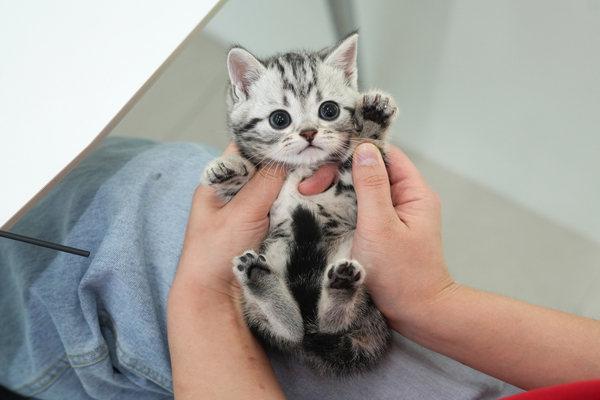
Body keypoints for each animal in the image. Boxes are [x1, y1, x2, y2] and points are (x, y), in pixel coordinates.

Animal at [201, 32, 398, 375]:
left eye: (329, 110)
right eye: (279, 119)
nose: (308, 132)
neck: (301, 170)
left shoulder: (357, 199)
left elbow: (365, 155)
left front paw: (373, 121)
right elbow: (237, 189)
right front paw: (230, 169)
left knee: (325, 327)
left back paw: (340, 288)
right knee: (293, 331)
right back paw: (261, 279)